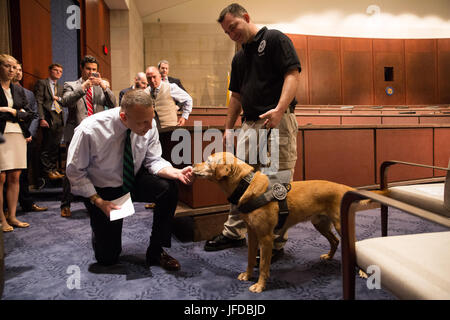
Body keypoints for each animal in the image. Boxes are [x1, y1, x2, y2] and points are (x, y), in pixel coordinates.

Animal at [193, 152, 372, 292]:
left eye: (208, 160)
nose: (192, 165)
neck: (246, 184)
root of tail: (344, 188)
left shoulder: (266, 238)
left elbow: (263, 265)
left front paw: (260, 286)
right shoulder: (252, 234)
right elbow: (250, 259)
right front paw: (248, 275)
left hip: (341, 225)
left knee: (354, 244)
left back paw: (363, 272)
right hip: (320, 223)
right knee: (334, 241)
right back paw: (328, 256)